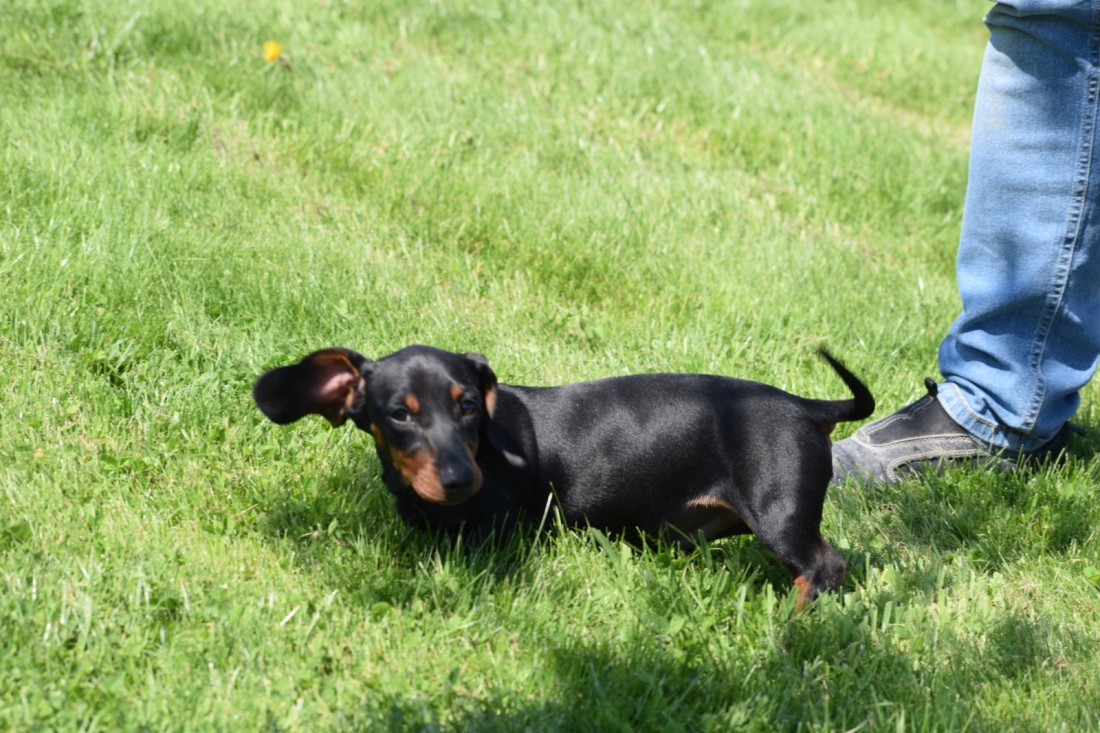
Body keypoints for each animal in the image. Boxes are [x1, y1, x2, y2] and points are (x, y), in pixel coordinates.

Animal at [253, 345, 874, 608]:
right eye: (399, 415)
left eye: (468, 406)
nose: (460, 479)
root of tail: (807, 407)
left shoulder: (494, 534)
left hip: (781, 512)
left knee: (824, 568)